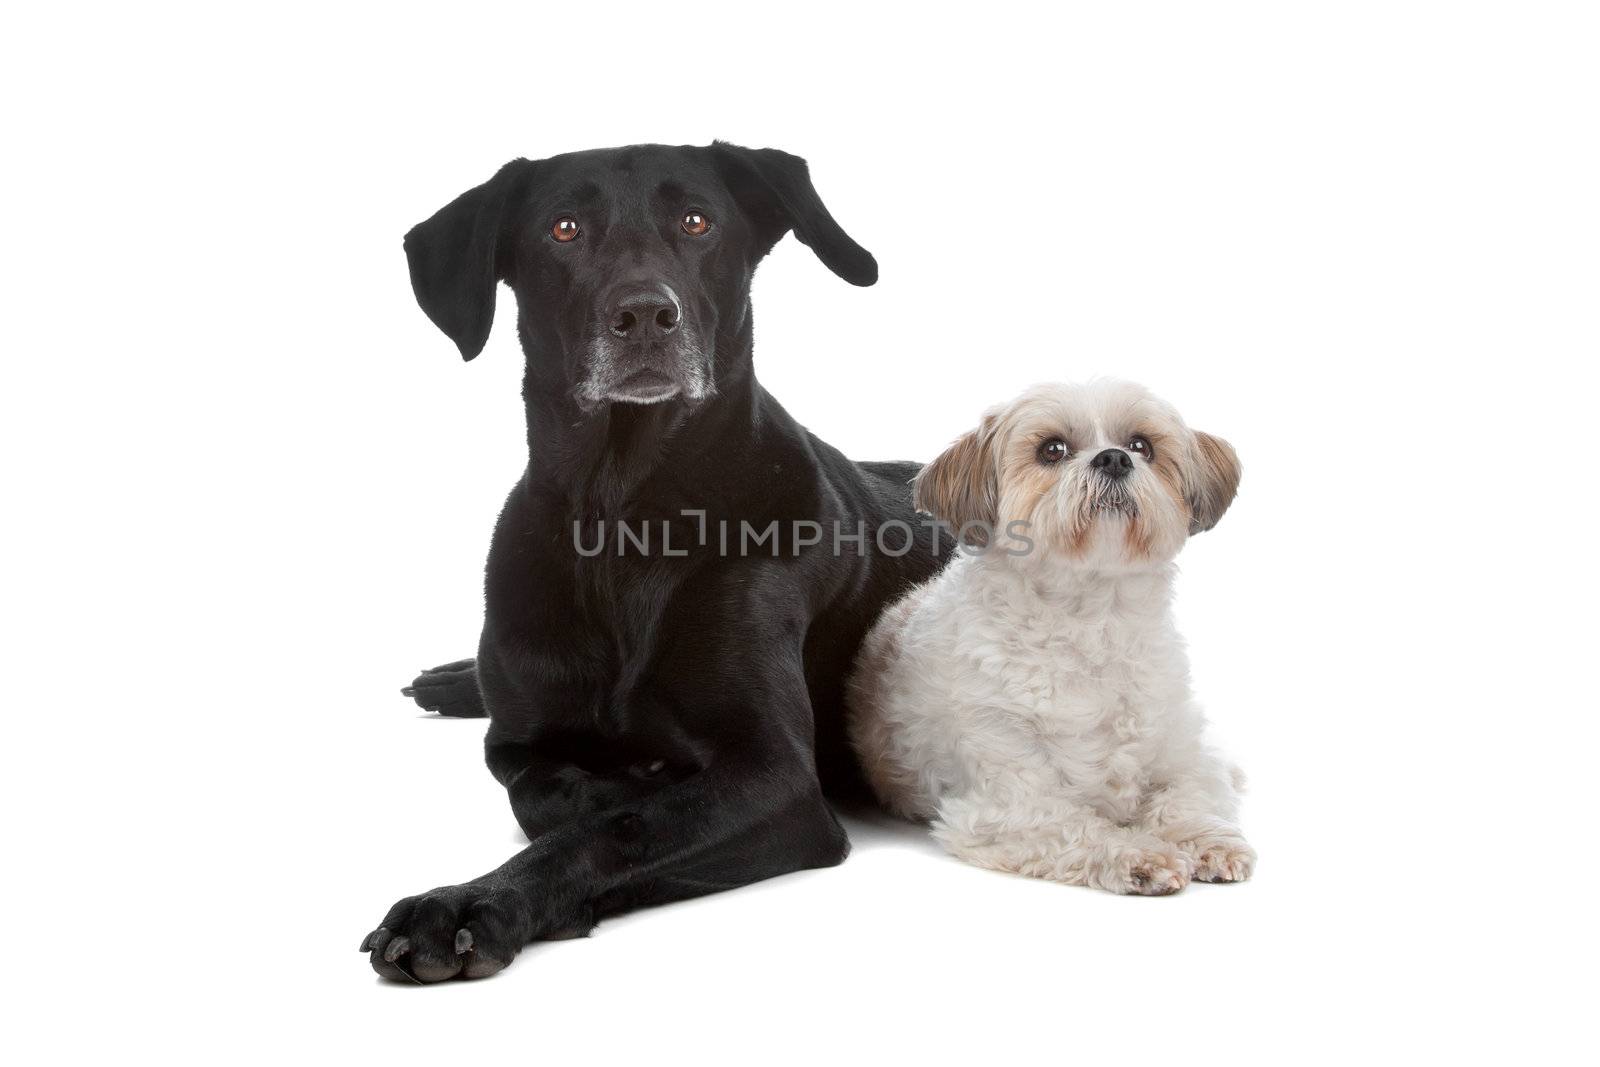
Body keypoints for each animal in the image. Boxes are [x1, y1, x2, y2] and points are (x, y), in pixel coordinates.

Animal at [363, 143, 947, 985]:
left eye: (697, 221)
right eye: (564, 228)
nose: (644, 314)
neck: (622, 517)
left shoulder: (776, 778)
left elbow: (620, 827)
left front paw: (473, 901)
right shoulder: (516, 741)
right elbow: (541, 789)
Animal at [844, 379, 1254, 895]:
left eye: (1142, 445)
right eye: (1052, 449)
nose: (1114, 458)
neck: (1092, 619)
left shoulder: (1186, 757)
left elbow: (1187, 797)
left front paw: (1208, 840)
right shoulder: (1009, 804)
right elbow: (1077, 828)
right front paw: (1137, 855)